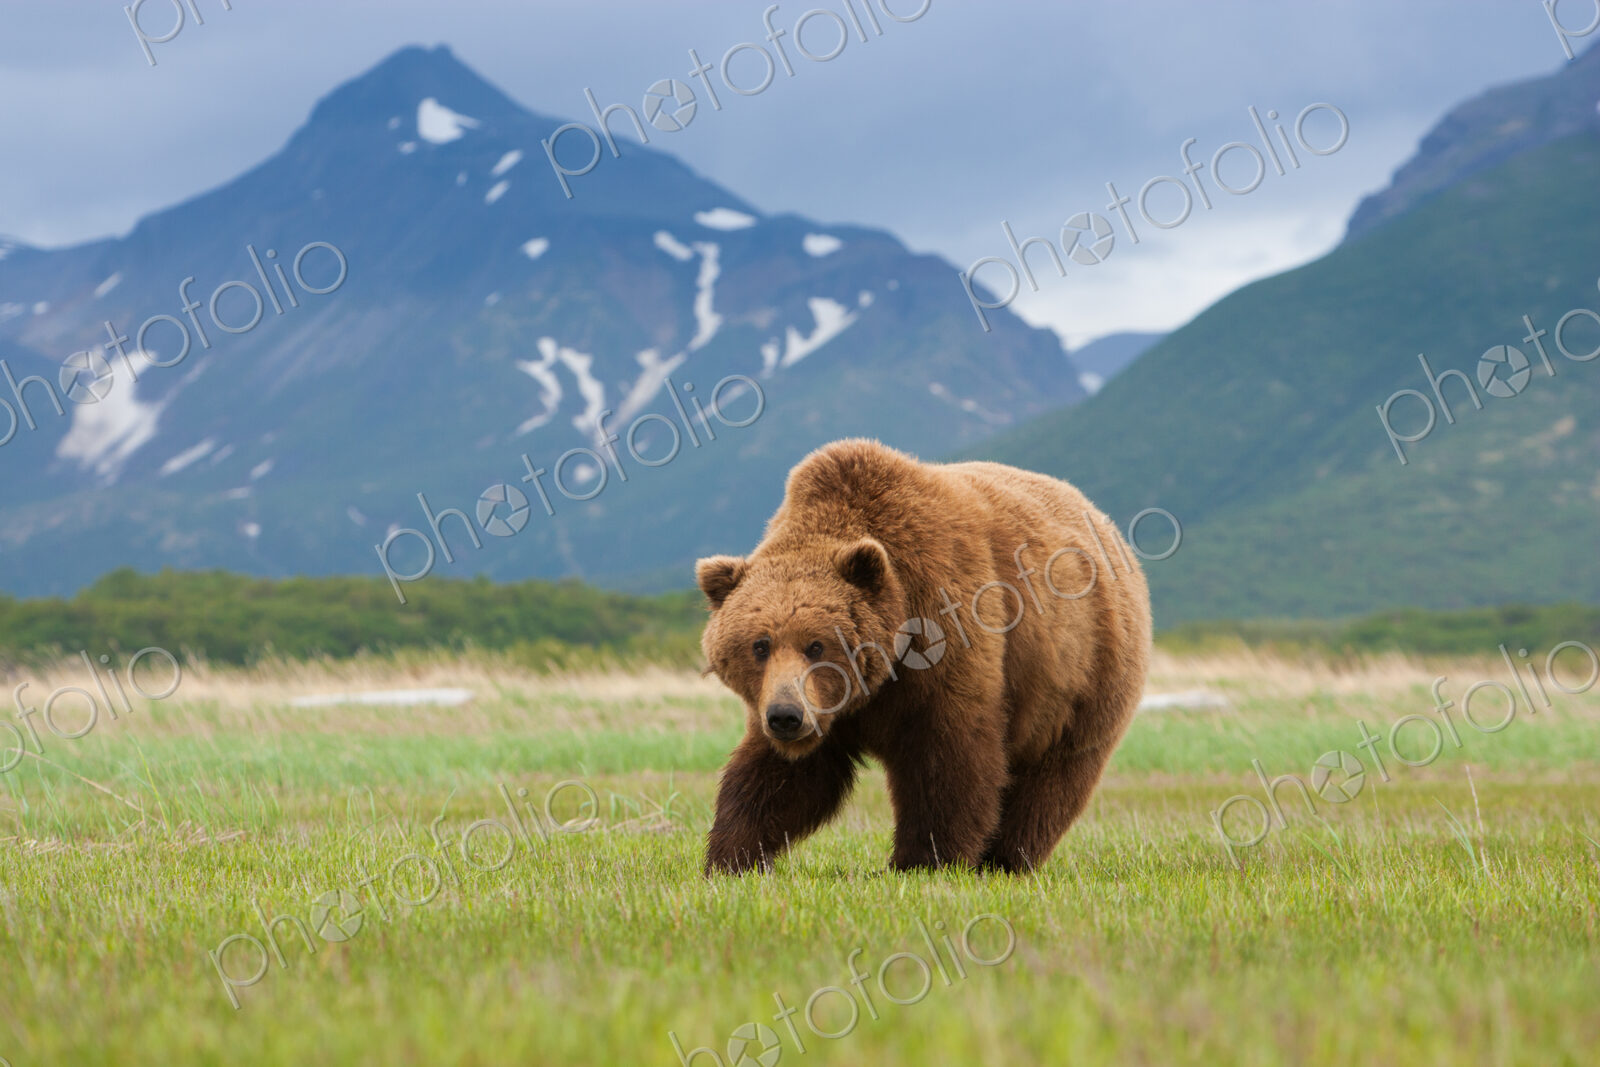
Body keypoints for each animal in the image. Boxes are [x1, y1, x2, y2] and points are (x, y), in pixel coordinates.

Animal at [696, 438, 1152, 875]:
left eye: (816, 645)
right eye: (760, 645)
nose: (786, 717)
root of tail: (1102, 520)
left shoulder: (945, 637)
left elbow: (947, 762)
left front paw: (922, 861)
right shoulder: (817, 709)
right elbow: (781, 779)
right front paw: (733, 857)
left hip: (1081, 678)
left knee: (1050, 781)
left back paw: (1004, 859)